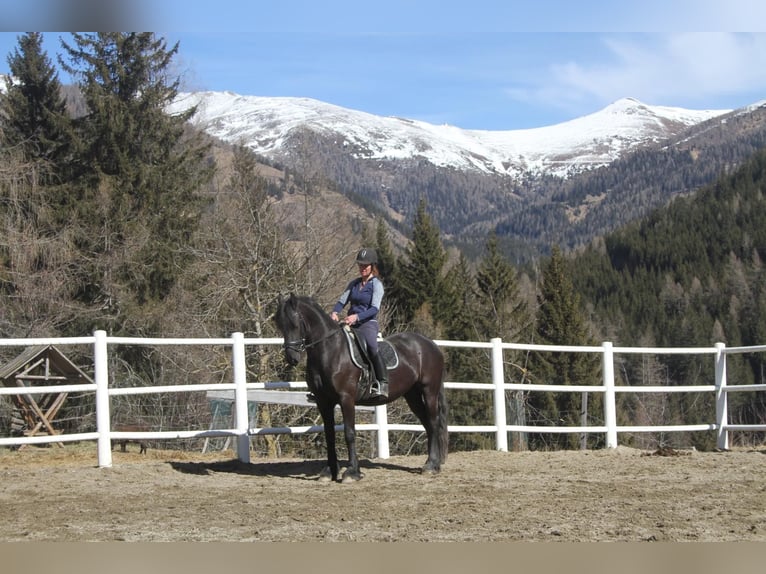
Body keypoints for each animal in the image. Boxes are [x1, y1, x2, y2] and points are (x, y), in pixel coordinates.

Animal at [274, 294, 450, 484]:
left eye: (294, 323)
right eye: (280, 324)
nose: (291, 358)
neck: (330, 350)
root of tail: (430, 344)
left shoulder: (346, 399)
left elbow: (349, 433)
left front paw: (352, 472)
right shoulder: (323, 401)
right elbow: (329, 435)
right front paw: (329, 472)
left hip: (429, 391)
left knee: (433, 422)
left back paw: (431, 466)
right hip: (412, 395)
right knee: (427, 424)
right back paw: (433, 463)